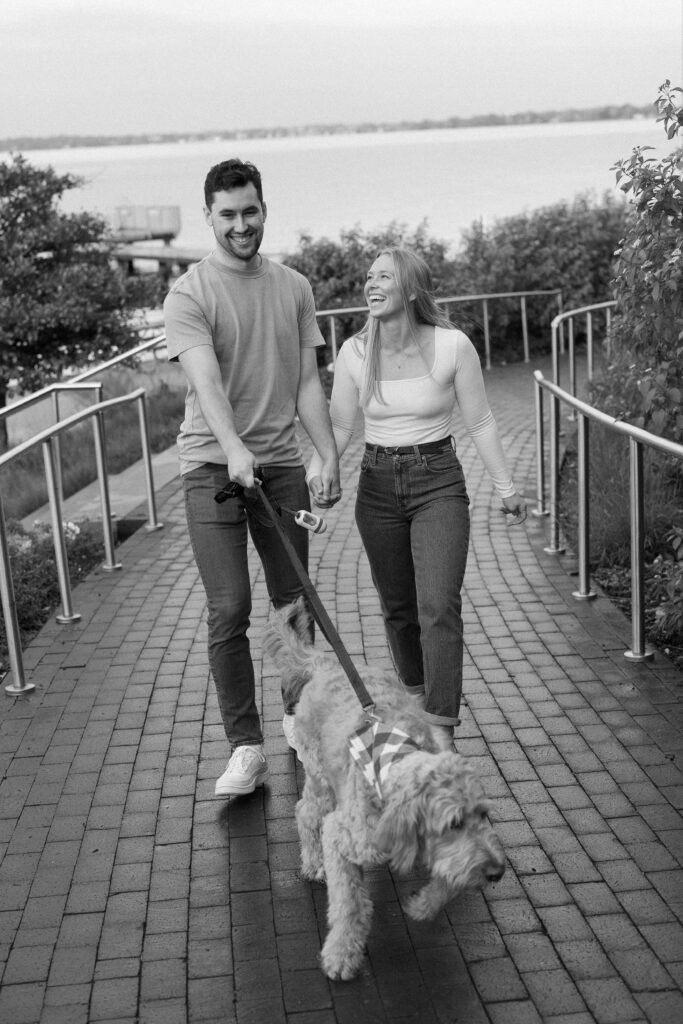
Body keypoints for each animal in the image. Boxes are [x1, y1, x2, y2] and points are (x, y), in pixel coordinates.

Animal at [264, 598, 505, 983]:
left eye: (483, 815)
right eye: (453, 823)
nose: (497, 872)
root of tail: (326, 663)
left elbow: (449, 877)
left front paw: (423, 904)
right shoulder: (341, 835)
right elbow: (350, 903)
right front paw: (341, 954)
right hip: (321, 781)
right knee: (305, 813)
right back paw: (313, 862)